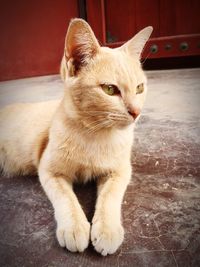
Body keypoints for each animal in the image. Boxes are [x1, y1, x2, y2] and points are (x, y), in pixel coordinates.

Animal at [0, 19, 152, 258]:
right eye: (110, 89)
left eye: (139, 88)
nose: (136, 112)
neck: (96, 135)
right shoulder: (49, 171)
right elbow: (66, 198)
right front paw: (74, 227)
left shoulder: (120, 171)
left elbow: (110, 197)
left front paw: (107, 230)